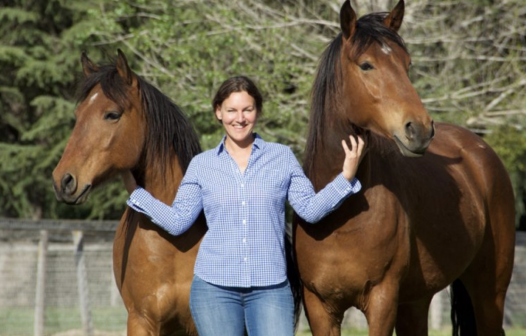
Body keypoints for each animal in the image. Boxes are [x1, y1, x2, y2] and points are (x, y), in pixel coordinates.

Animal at [294, 0, 516, 336]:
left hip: (489, 292)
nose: (420, 129)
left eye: (406, 64)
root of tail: (480, 152)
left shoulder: (382, 300)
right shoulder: (319, 307)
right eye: (366, 65)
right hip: (416, 302)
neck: (339, 214)